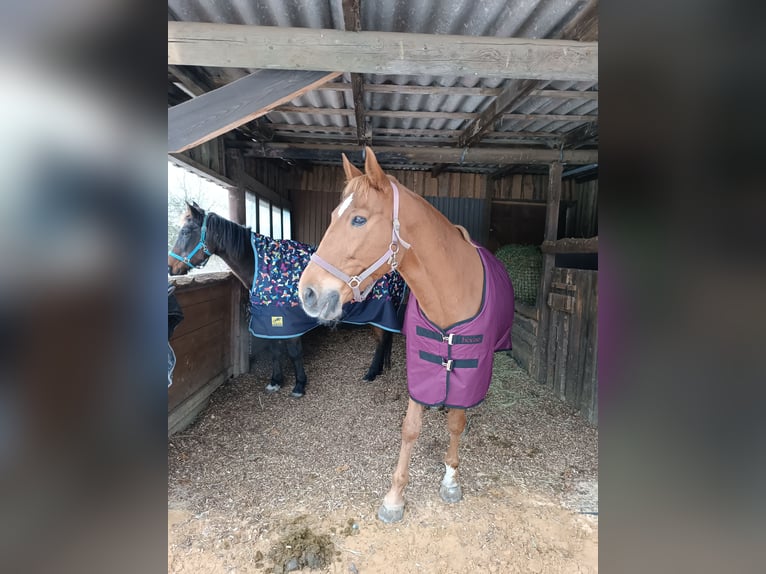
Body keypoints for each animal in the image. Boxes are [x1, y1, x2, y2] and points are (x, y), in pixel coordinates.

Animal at [300, 147, 516, 520]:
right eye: (332, 215)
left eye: (358, 220)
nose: (307, 292)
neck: (449, 292)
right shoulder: (423, 366)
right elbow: (410, 428)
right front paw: (394, 497)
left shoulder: (468, 369)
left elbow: (457, 422)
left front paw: (450, 479)